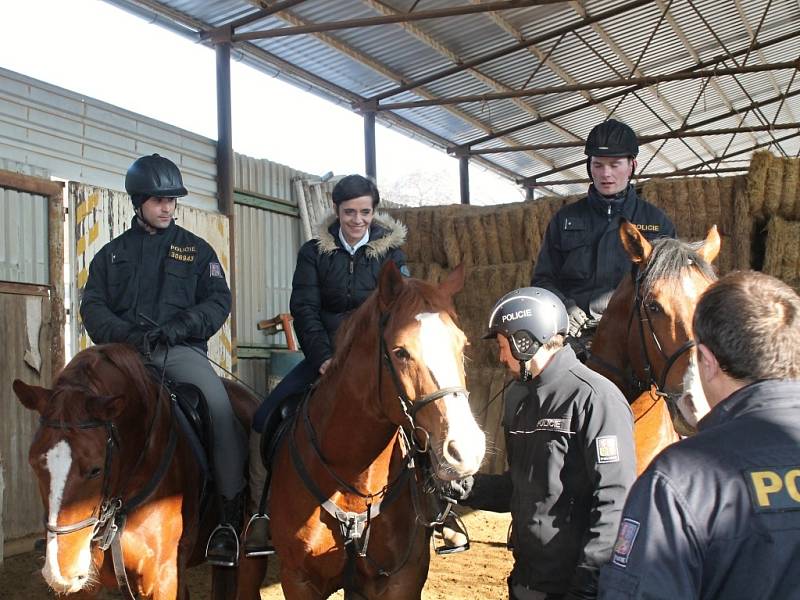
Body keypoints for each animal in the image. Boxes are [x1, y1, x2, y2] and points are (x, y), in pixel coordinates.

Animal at [268, 262, 484, 600]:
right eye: (400, 352)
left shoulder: (402, 580)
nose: (466, 450)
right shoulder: (298, 580)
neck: (352, 478)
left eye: (462, 345)